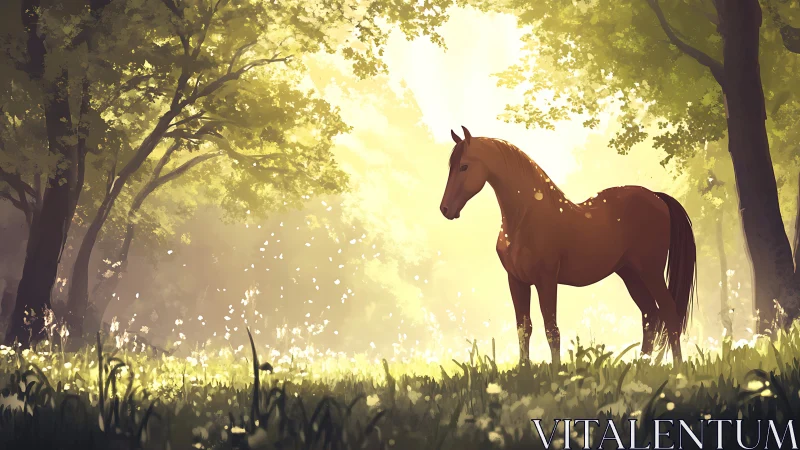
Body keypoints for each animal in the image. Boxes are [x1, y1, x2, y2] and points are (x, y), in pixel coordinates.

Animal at [439, 126, 696, 366]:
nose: (445, 209)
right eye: (451, 166)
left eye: (464, 166)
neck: (525, 218)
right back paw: (641, 364)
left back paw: (676, 368)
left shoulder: (546, 280)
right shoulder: (516, 280)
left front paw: (556, 372)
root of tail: (656, 197)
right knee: (650, 315)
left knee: (669, 314)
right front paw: (524, 370)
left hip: (650, 272)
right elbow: (524, 328)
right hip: (630, 273)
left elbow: (551, 330)